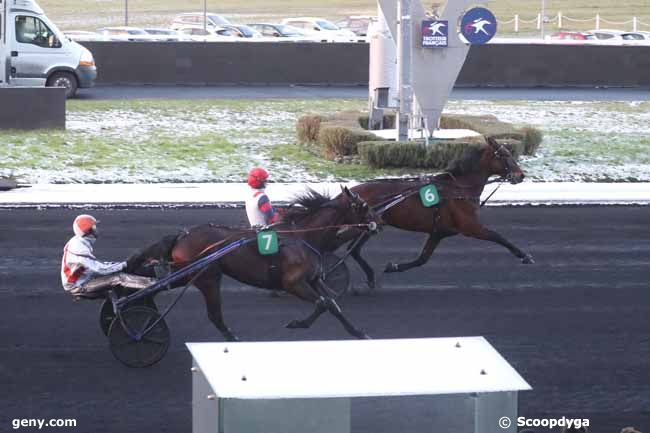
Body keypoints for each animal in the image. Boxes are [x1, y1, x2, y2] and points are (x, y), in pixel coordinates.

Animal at [127, 186, 378, 340]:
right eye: (364, 206)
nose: (377, 221)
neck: (303, 237)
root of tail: (182, 236)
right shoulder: (293, 283)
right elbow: (322, 303)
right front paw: (297, 323)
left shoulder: (313, 279)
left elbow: (333, 304)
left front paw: (358, 332)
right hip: (207, 277)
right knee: (214, 315)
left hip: (190, 274)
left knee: (158, 285)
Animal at [346, 137, 536, 288]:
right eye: (505, 155)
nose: (520, 175)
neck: (459, 190)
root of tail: (350, 193)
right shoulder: (470, 227)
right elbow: (498, 237)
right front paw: (524, 256)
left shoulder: (439, 232)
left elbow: (422, 259)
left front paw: (393, 266)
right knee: (352, 250)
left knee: (353, 251)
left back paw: (370, 277)